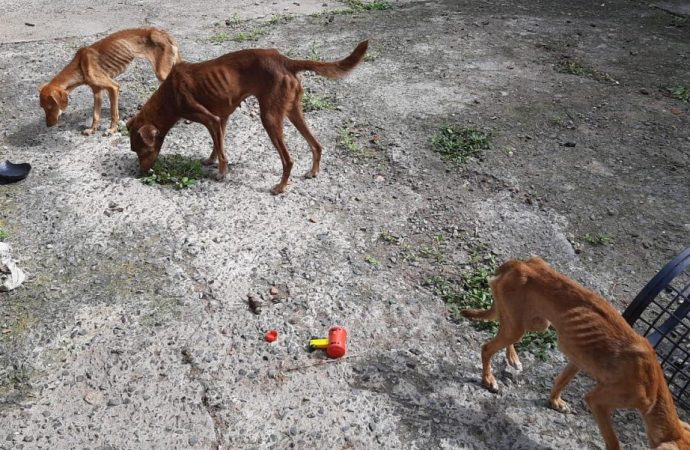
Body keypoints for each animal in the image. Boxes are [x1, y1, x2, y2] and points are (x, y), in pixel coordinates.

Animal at [39, 27, 180, 135]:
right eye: (42, 107)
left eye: (50, 107)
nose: (48, 125)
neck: (79, 65)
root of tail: (161, 32)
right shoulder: (97, 92)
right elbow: (96, 115)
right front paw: (92, 130)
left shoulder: (113, 87)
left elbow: (113, 112)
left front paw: (112, 129)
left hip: (162, 73)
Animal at [125, 39, 368, 192]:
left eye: (142, 150)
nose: (140, 174)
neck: (169, 95)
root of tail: (283, 59)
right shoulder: (221, 119)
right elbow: (218, 145)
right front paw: (211, 160)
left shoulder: (210, 119)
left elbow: (221, 151)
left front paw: (221, 173)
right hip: (293, 111)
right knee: (316, 145)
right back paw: (314, 172)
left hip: (269, 118)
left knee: (288, 160)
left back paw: (280, 188)